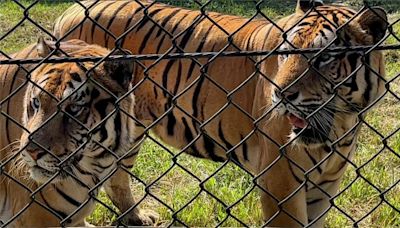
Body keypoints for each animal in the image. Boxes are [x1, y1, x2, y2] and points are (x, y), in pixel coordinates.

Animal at [14, 0, 386, 225]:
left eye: (324, 57)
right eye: (285, 52)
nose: (280, 94)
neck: (340, 123)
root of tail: (72, 10)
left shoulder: (324, 186)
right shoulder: (280, 183)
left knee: (117, 177)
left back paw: (136, 218)